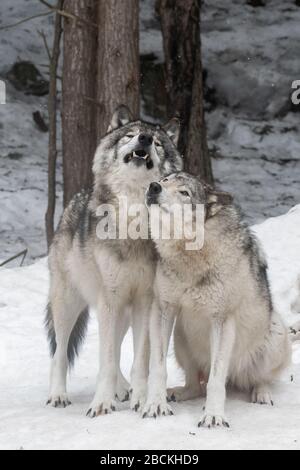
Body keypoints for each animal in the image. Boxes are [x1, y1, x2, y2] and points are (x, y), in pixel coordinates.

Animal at [45, 105, 183, 414]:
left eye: (158, 143)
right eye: (131, 135)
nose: (145, 138)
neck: (132, 216)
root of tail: (75, 199)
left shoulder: (144, 300)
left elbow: (139, 358)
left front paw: (140, 398)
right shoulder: (111, 298)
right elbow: (105, 359)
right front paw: (101, 404)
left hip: (122, 312)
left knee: (118, 348)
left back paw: (123, 389)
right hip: (70, 303)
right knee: (60, 352)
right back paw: (58, 395)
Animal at [143, 172, 290, 426]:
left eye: (185, 192)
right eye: (165, 179)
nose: (154, 187)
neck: (190, 252)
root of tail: (237, 376)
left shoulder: (222, 319)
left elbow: (215, 379)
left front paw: (213, 417)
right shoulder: (164, 309)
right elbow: (158, 368)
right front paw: (156, 405)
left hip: (276, 336)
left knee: (258, 378)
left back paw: (261, 394)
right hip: (181, 340)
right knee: (195, 385)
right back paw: (178, 393)